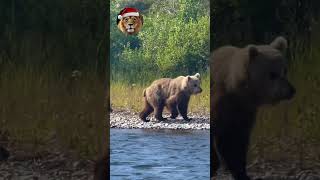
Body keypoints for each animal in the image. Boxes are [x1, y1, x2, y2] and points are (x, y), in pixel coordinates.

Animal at [211, 36, 296, 180]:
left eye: (285, 70)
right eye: (272, 74)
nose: (290, 90)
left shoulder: (242, 112)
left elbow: (235, 143)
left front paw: (242, 174)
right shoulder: (221, 105)